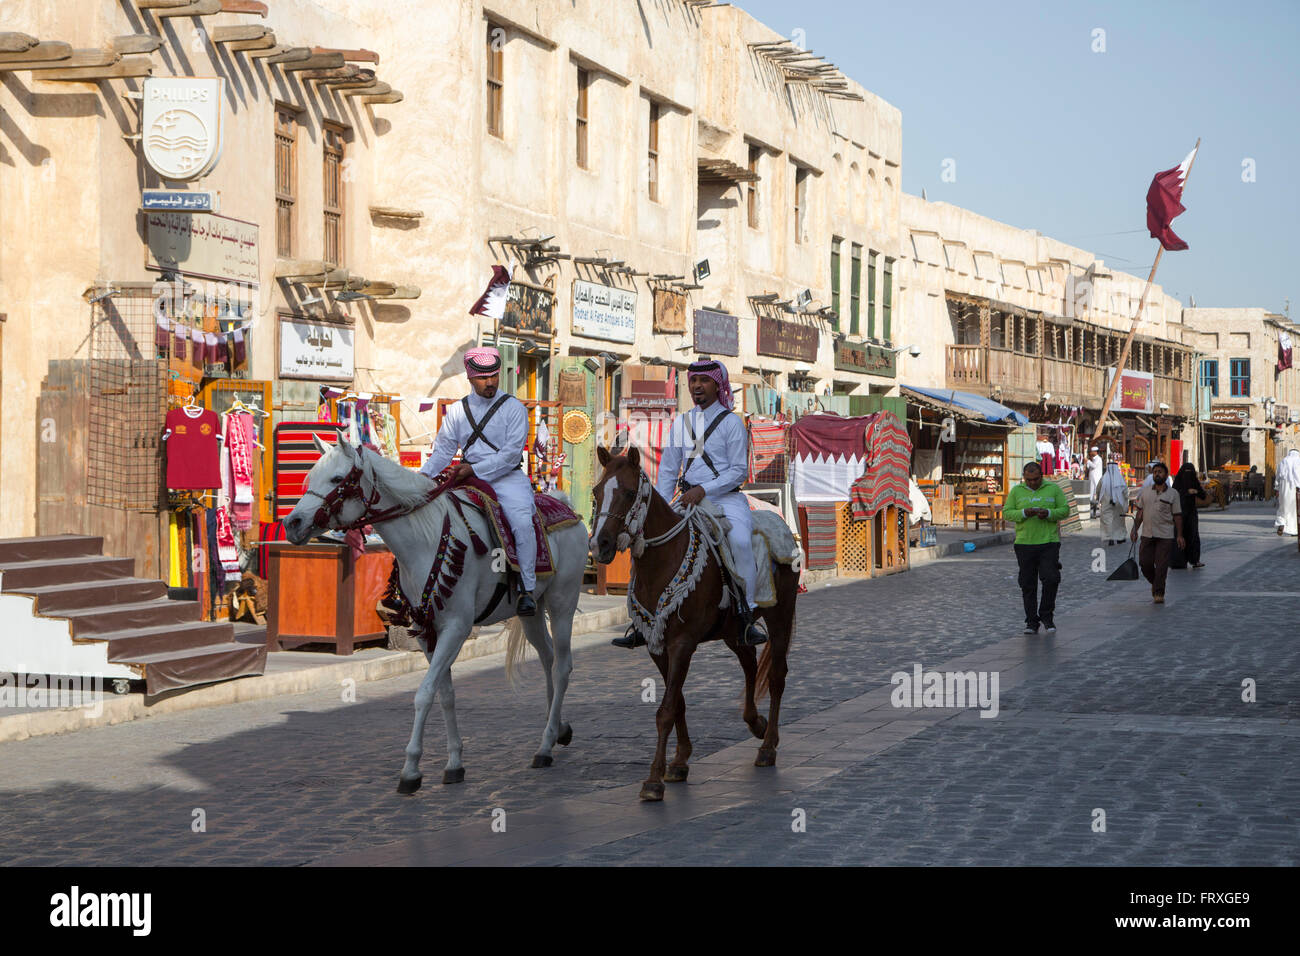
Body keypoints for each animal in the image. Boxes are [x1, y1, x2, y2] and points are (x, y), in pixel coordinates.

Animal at [286, 442, 595, 790]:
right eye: (312, 475)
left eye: (337, 478)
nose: (292, 523)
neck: (424, 539)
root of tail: (566, 506)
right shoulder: (426, 632)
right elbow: (444, 693)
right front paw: (454, 762)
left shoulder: (455, 629)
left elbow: (424, 694)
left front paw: (410, 769)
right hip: (531, 613)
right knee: (548, 659)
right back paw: (558, 729)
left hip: (562, 603)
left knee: (562, 666)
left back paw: (545, 745)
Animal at [592, 447, 795, 801]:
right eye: (596, 492)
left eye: (629, 493)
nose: (599, 545)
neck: (661, 562)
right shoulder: (657, 646)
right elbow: (678, 703)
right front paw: (679, 761)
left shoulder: (682, 643)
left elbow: (666, 709)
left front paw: (654, 780)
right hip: (732, 631)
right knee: (750, 664)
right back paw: (754, 722)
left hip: (780, 616)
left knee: (776, 677)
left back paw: (768, 746)